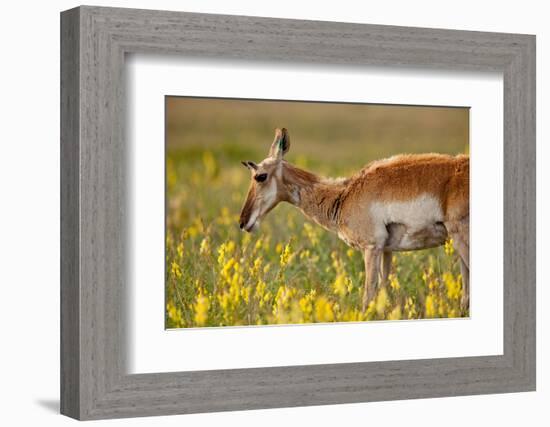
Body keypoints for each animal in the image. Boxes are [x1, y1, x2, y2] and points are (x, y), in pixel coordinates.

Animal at [239, 129, 472, 312]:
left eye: (260, 176)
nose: (242, 222)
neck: (345, 194)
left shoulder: (371, 248)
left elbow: (368, 296)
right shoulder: (386, 251)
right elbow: (384, 295)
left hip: (460, 239)